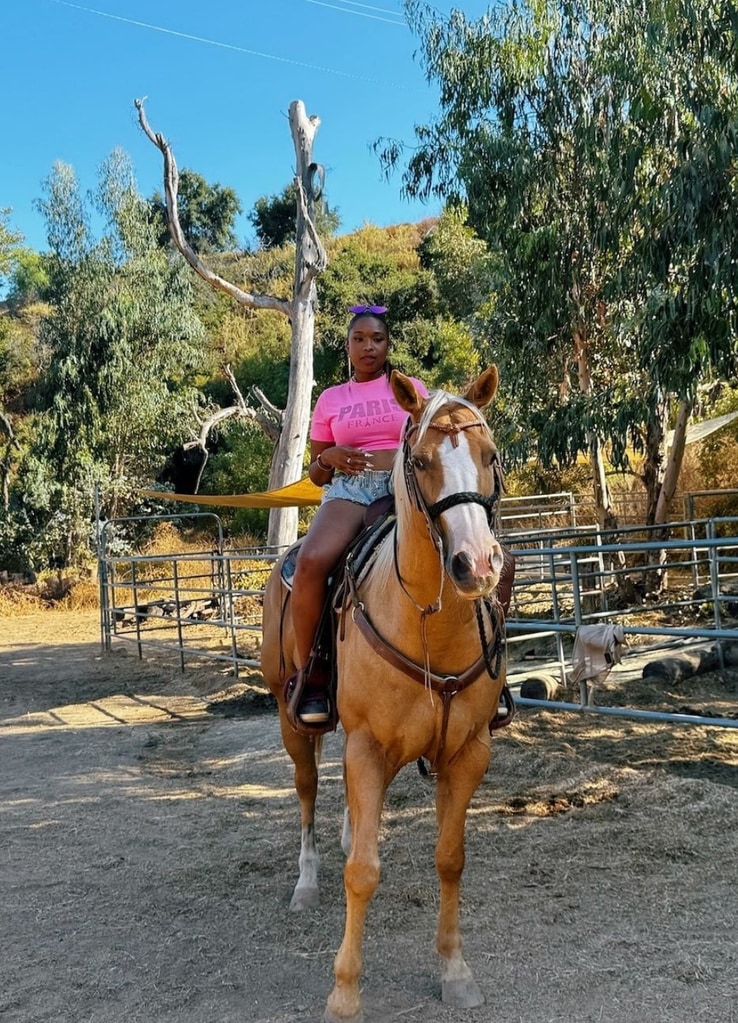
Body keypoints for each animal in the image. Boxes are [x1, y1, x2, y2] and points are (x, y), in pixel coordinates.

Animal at [258, 368, 507, 1023]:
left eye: (490, 455)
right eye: (419, 461)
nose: (477, 566)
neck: (426, 626)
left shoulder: (467, 753)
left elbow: (451, 858)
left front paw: (455, 972)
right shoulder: (367, 747)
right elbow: (362, 872)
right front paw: (345, 991)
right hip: (293, 721)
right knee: (308, 793)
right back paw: (306, 882)